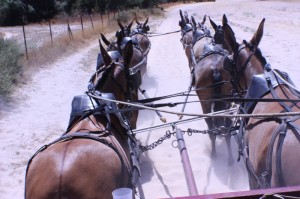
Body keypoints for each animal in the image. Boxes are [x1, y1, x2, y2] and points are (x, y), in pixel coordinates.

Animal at [193, 14, 236, 166]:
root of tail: (216, 69)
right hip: (226, 103)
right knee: (226, 128)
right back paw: (229, 158)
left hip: (205, 104)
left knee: (211, 127)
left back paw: (214, 154)